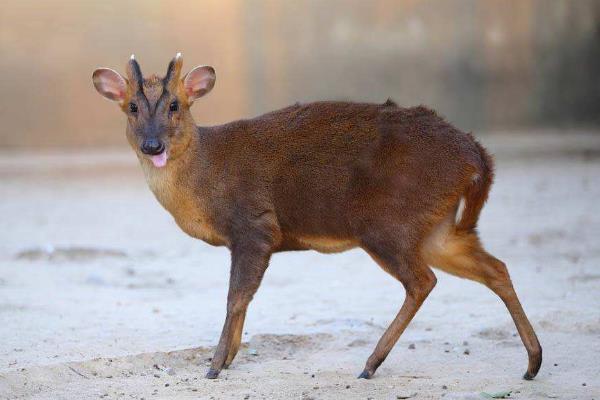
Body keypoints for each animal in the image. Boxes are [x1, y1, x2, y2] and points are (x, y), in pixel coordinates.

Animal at [91, 54, 540, 380]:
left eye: (175, 105)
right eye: (132, 107)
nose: (153, 145)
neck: (206, 177)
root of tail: (475, 155)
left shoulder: (255, 225)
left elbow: (237, 296)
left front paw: (216, 364)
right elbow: (242, 299)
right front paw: (229, 356)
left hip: (387, 222)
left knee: (423, 281)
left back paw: (370, 364)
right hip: (437, 227)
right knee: (496, 267)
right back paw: (533, 362)